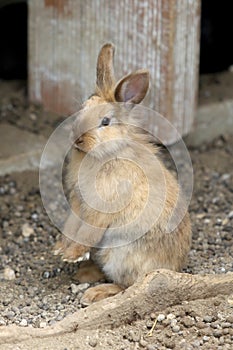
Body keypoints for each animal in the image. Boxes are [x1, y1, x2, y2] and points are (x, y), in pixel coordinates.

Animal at [53, 42, 192, 304]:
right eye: (82, 108)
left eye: (105, 122)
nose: (77, 138)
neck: (106, 153)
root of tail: (172, 268)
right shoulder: (77, 202)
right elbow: (71, 226)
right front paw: (60, 249)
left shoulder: (101, 208)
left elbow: (86, 232)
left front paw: (69, 255)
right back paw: (85, 273)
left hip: (120, 254)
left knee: (130, 285)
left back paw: (94, 293)